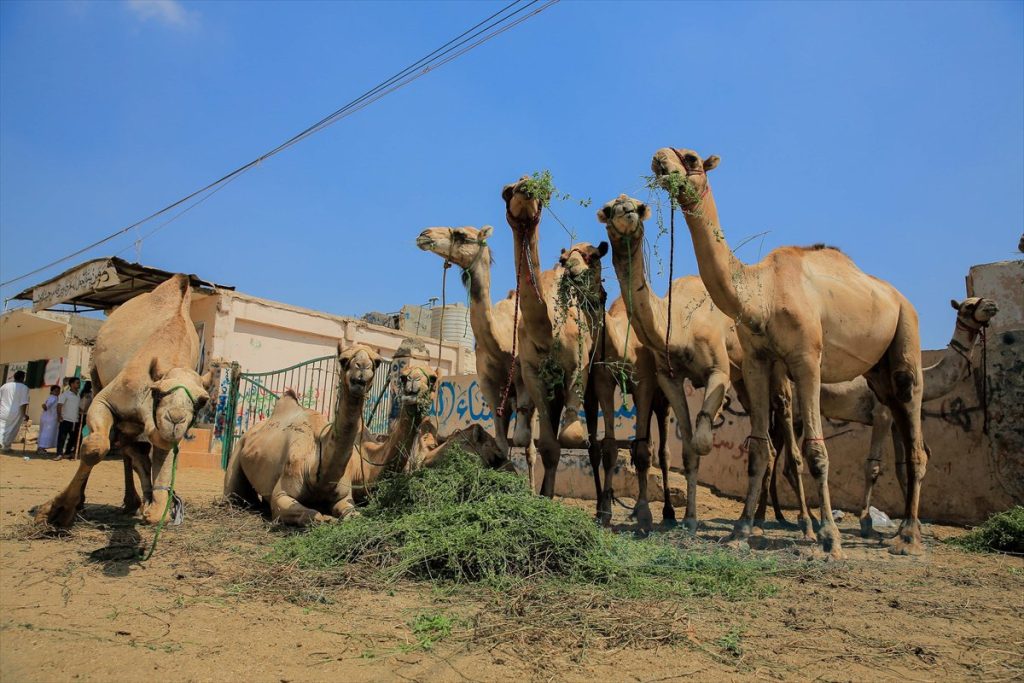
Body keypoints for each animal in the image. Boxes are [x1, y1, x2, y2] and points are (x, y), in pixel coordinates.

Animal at [34, 274, 211, 528]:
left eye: (202, 401)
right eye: (157, 392)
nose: (175, 420)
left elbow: (155, 464)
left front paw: (153, 505)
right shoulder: (109, 398)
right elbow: (95, 447)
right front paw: (57, 511)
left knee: (127, 445)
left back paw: (132, 501)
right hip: (96, 375)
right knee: (111, 439)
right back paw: (86, 503)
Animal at [222, 344, 382, 528]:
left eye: (377, 361)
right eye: (343, 360)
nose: (362, 369)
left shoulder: (344, 496)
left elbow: (353, 514)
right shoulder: (282, 494)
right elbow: (311, 514)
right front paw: (328, 518)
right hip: (238, 449)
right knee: (233, 494)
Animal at [655, 147, 929, 557]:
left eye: (690, 158)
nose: (659, 158)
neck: (762, 294)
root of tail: (901, 298)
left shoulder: (807, 358)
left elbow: (817, 452)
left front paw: (829, 538)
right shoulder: (756, 359)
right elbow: (758, 450)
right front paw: (740, 531)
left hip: (906, 330)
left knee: (913, 417)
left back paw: (908, 537)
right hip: (878, 372)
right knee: (898, 414)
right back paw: (903, 532)